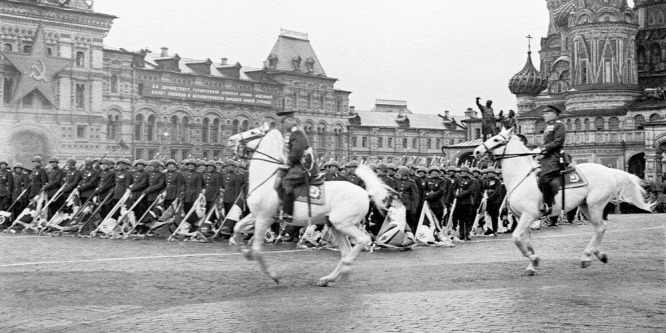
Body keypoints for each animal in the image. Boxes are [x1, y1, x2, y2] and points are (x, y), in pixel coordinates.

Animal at [226, 123, 390, 284]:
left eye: (253, 132)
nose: (231, 139)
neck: (266, 180)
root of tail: (365, 193)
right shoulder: (256, 216)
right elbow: (237, 227)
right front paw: (242, 249)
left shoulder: (263, 219)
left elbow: (256, 250)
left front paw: (273, 275)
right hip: (335, 226)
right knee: (346, 251)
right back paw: (330, 277)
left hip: (343, 223)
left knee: (362, 240)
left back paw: (346, 266)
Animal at [472, 126, 652, 274]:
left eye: (496, 139)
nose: (477, 152)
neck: (521, 177)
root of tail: (609, 171)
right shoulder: (521, 216)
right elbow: (527, 242)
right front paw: (532, 264)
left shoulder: (528, 215)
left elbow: (516, 237)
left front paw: (534, 260)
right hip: (586, 206)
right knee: (600, 228)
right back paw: (598, 254)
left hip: (595, 205)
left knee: (600, 228)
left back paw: (587, 257)